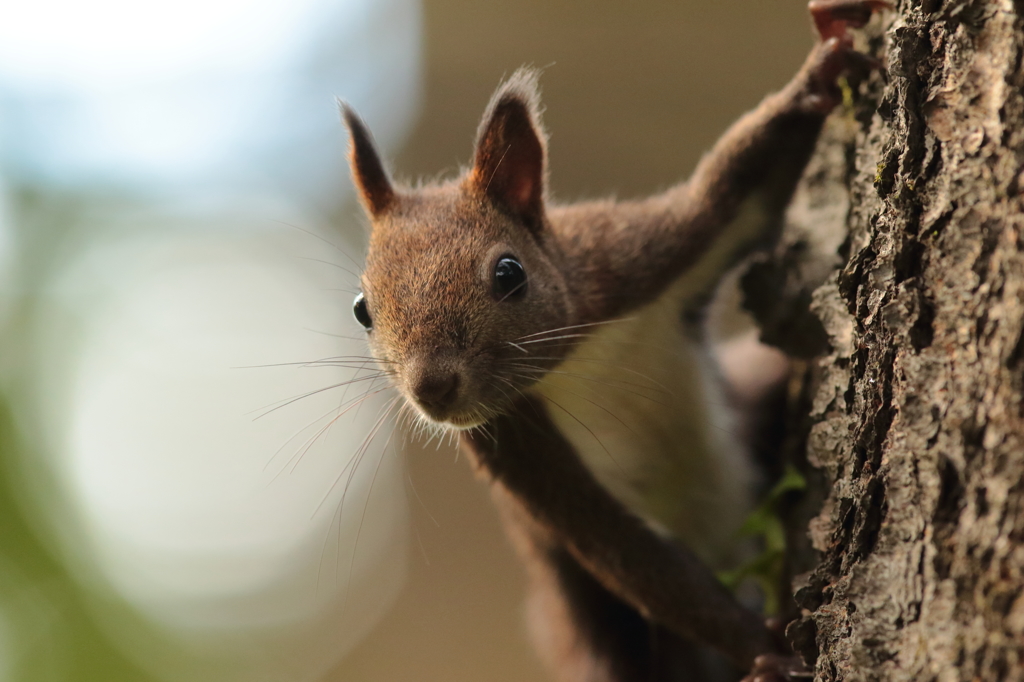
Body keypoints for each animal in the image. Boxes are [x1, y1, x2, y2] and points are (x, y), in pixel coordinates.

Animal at [339, 2, 884, 675]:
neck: (576, 359)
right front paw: (765, 650)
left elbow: (739, 185)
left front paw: (824, 64)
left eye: (509, 273)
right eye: (362, 309)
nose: (432, 389)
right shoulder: (518, 450)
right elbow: (630, 557)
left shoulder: (633, 258)